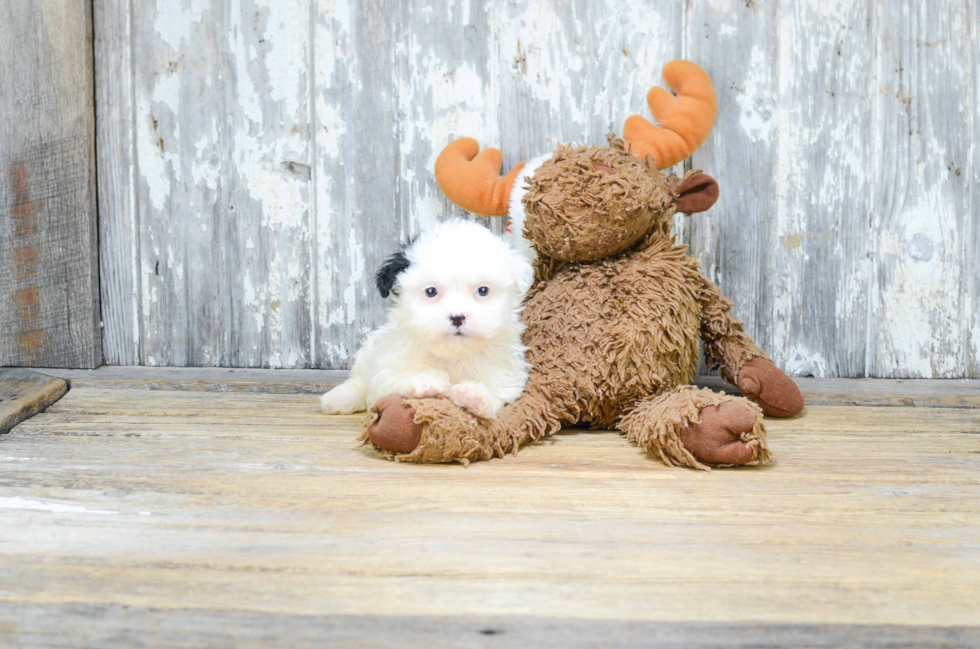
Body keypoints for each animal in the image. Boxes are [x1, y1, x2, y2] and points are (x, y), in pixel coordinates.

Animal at [320, 219, 536, 420]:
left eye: (483, 290)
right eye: (431, 292)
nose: (458, 317)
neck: (452, 357)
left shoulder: (505, 374)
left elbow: (498, 395)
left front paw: (475, 395)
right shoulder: (387, 371)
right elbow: (391, 384)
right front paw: (425, 382)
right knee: (359, 383)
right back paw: (339, 398)